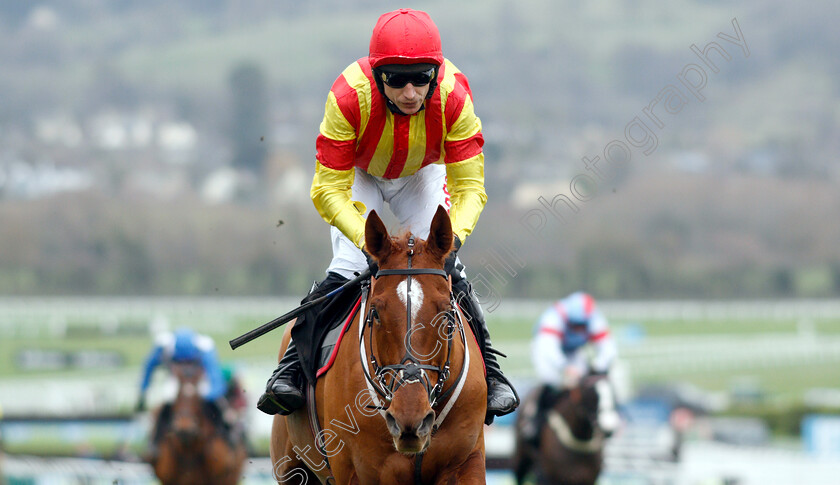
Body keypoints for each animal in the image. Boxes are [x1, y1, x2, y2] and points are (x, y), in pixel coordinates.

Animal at [272, 205, 488, 484]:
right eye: (375, 312)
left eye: (447, 315)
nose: (410, 417)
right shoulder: (356, 470)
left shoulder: (467, 461)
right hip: (291, 467)